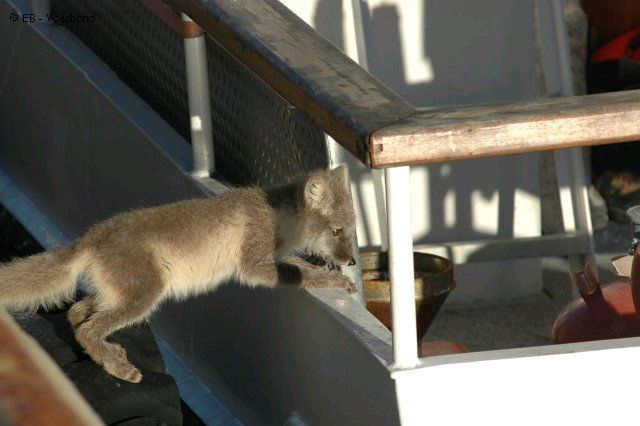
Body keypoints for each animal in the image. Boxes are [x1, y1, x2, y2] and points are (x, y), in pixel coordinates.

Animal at [0, 166, 357, 383]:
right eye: (336, 231)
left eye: (352, 231)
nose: (352, 260)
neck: (279, 215)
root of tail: (90, 238)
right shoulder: (253, 265)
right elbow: (301, 274)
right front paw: (335, 280)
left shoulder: (275, 257)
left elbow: (302, 266)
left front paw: (338, 278)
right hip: (143, 298)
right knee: (87, 327)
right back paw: (119, 368)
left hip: (116, 295)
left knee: (76, 314)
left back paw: (103, 355)